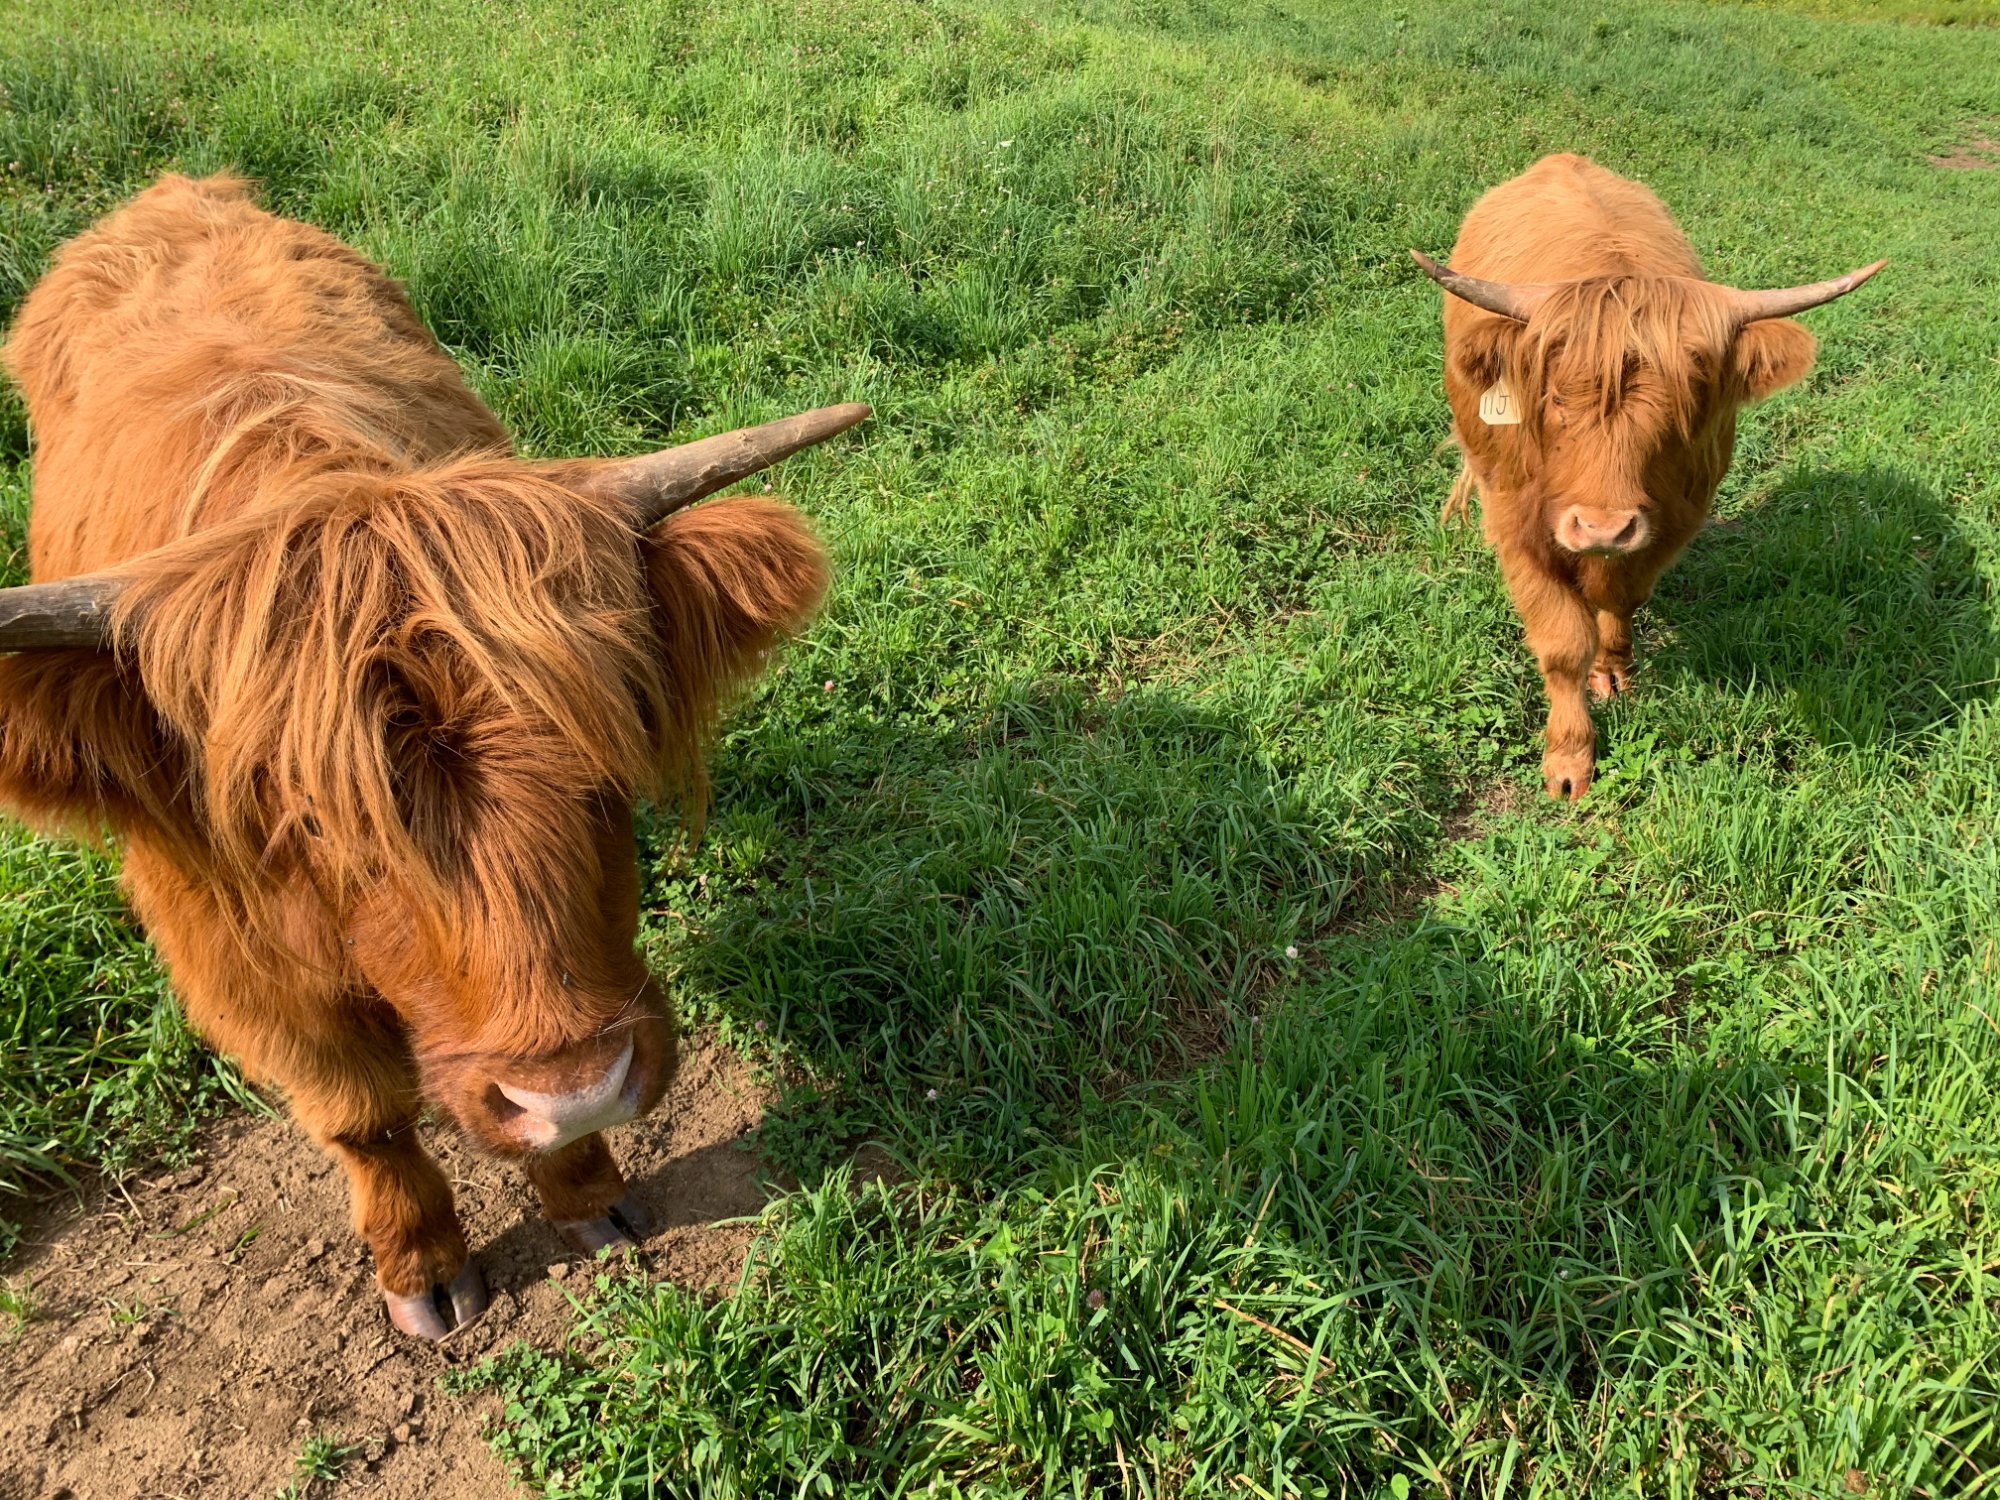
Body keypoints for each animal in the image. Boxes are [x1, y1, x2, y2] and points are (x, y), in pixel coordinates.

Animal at [0, 174, 866, 1339]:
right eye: (320, 824)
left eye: (609, 759)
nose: (574, 1090)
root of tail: (176, 191)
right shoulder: (232, 957)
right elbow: (360, 1113)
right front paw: (419, 1266)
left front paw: (586, 1195)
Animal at [1413, 153, 1883, 799]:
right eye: (1555, 396)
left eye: (1688, 398)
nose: (1602, 529)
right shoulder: (1513, 518)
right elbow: (1562, 643)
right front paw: (1569, 759)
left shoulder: (1675, 516)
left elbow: (1620, 595)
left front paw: (1613, 669)